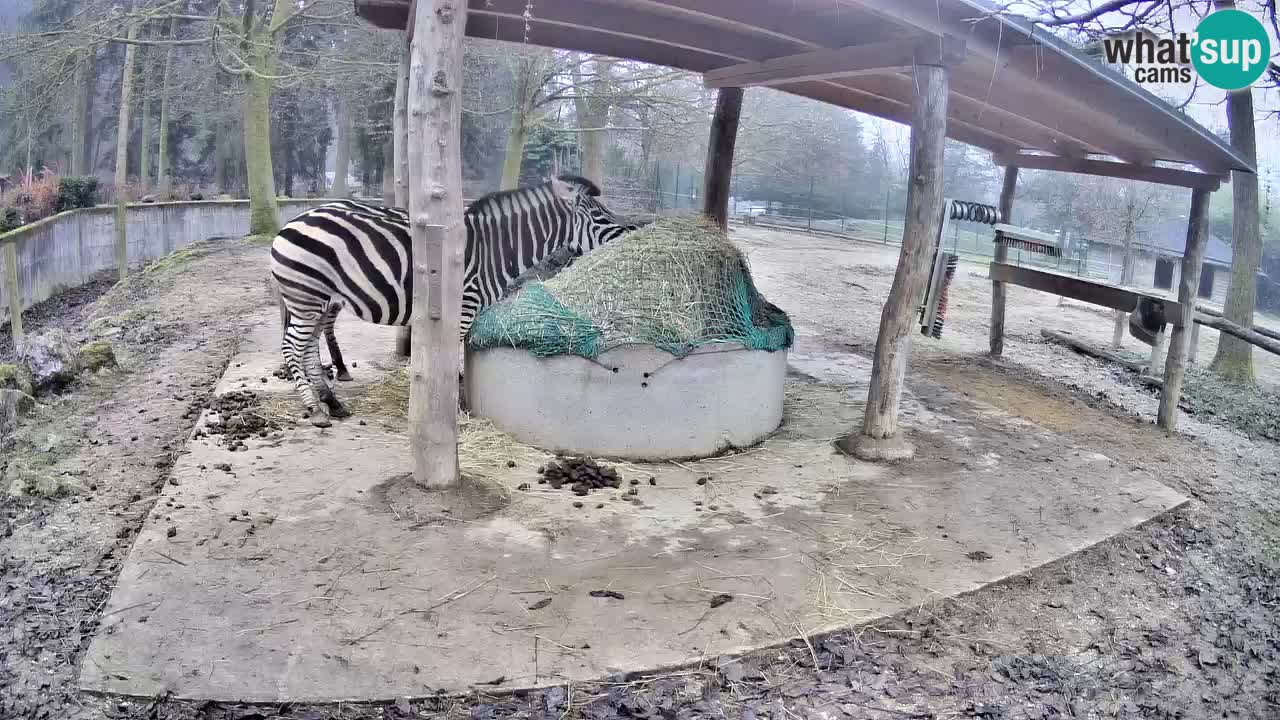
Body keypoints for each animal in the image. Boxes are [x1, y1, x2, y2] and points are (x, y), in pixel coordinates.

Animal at [269, 175, 640, 427]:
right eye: (602, 217)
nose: (632, 235)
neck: (494, 251)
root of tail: (291, 222)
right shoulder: (460, 309)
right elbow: (450, 363)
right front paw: (448, 412)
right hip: (307, 296)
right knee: (292, 347)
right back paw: (315, 410)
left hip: (319, 299)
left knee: (308, 348)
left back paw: (332, 403)